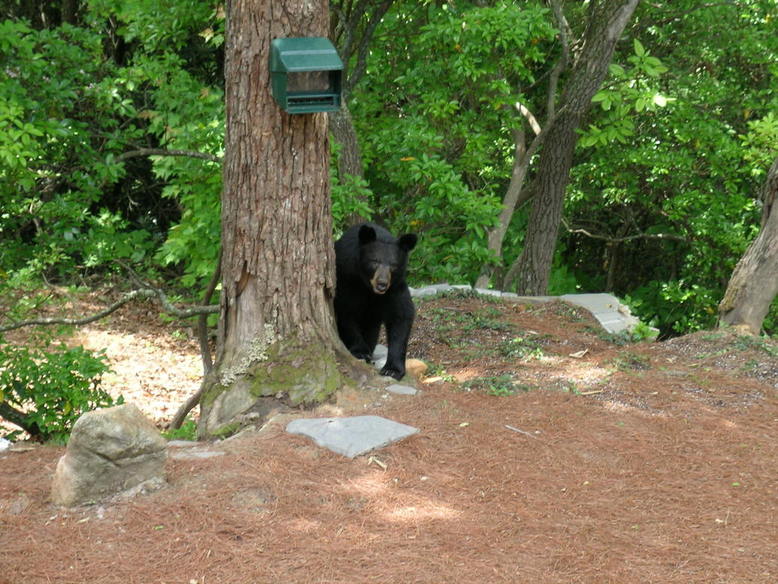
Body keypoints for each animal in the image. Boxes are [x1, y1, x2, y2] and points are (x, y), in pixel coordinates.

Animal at [334, 222, 418, 378]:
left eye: (393, 265)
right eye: (374, 261)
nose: (382, 284)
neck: (367, 287)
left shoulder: (394, 288)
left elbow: (401, 316)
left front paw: (392, 369)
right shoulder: (345, 279)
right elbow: (345, 312)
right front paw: (360, 352)